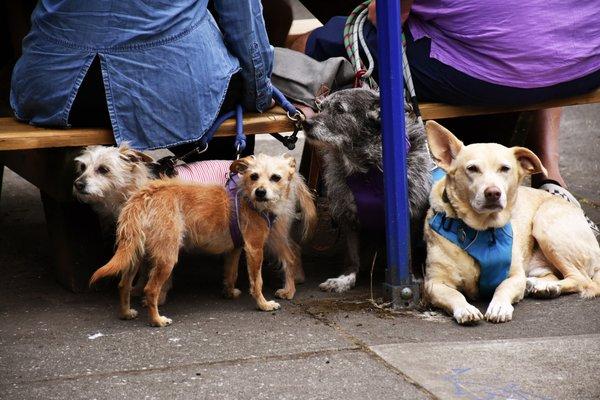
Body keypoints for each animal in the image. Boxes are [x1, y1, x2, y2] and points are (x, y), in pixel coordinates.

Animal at [89, 155, 316, 326]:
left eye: (276, 177)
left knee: (123, 285)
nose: (260, 192)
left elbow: (231, 273)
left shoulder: (235, 249)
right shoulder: (254, 248)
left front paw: (230, 292)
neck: (246, 197)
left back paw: (126, 313)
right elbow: (257, 281)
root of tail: (143, 196)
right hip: (167, 257)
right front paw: (263, 304)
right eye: (254, 176)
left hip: (134, 254)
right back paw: (157, 320)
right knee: (150, 289)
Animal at [304, 89, 432, 292]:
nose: (305, 123)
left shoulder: (412, 215)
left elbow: (410, 251)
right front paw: (345, 279)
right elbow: (352, 255)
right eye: (321, 107)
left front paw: (416, 279)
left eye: (339, 109)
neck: (367, 172)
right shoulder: (349, 217)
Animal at [422, 120, 600, 324]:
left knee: (582, 280)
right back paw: (542, 286)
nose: (493, 192)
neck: (482, 230)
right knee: (557, 276)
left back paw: (546, 287)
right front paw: (465, 309)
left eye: (505, 169)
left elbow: (502, 289)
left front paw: (499, 306)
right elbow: (454, 294)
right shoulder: (433, 284)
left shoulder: (514, 277)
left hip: (545, 225)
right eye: (472, 168)